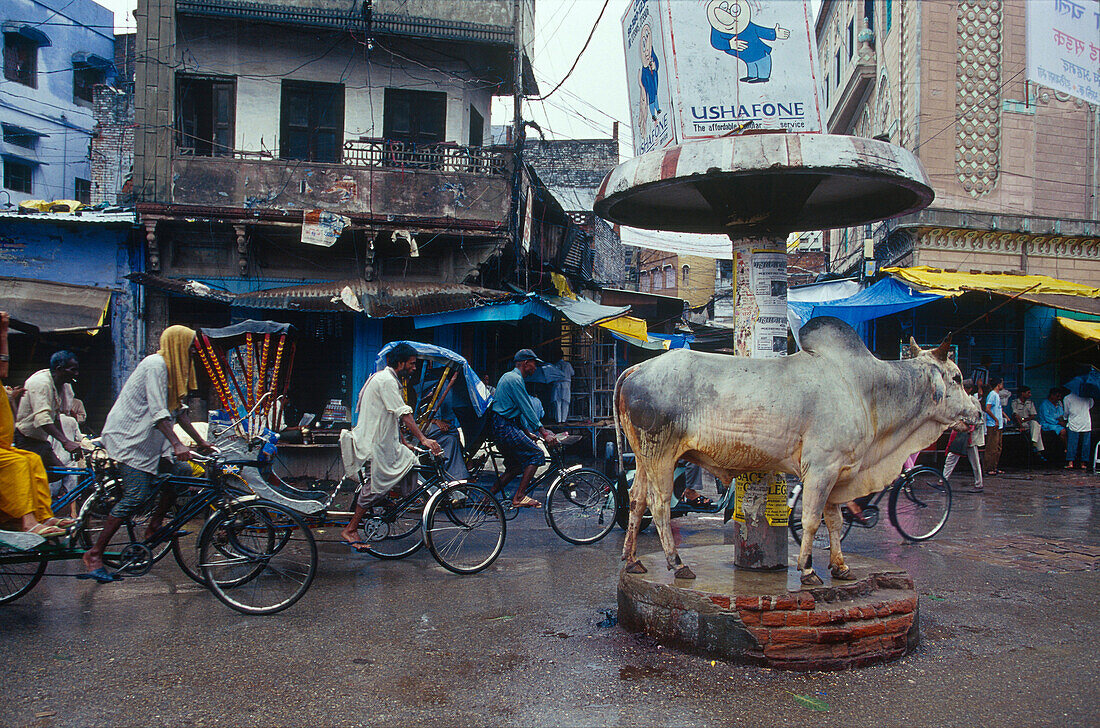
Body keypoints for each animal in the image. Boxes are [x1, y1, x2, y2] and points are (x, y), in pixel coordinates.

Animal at [616, 318, 985, 589]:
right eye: (957, 377)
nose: (978, 413)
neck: (866, 389)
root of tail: (636, 369)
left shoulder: (840, 472)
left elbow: (835, 521)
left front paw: (841, 566)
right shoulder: (822, 468)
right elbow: (810, 519)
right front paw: (807, 570)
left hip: (644, 456)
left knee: (636, 500)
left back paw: (633, 560)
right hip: (661, 454)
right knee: (660, 506)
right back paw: (677, 563)